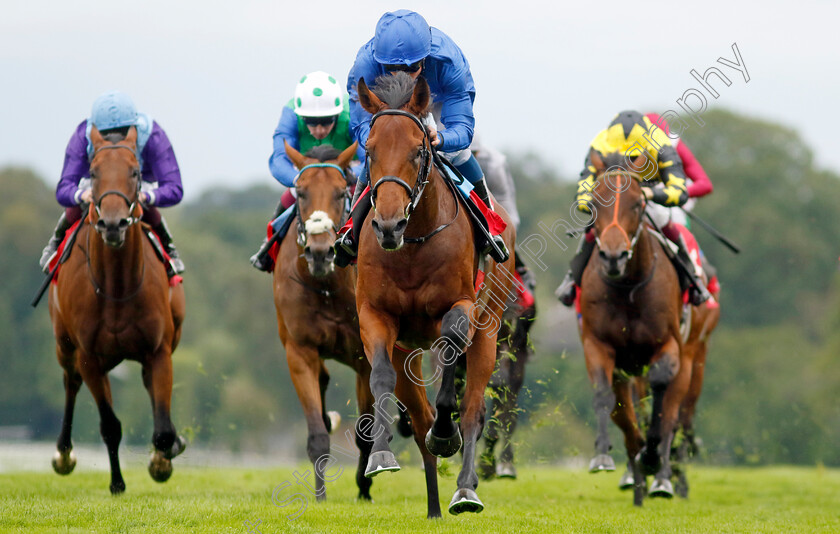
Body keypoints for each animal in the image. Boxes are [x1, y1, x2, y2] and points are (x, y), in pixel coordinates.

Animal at [48, 127, 185, 496]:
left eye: (135, 172)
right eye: (93, 173)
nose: (112, 223)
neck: (117, 288)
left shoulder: (159, 351)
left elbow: (162, 429)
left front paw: (162, 460)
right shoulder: (89, 357)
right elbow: (110, 425)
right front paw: (117, 483)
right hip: (65, 345)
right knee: (70, 382)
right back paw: (63, 454)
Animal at [270, 141, 376, 502]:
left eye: (341, 192)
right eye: (300, 192)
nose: (320, 252)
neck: (327, 286)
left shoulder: (364, 358)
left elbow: (365, 432)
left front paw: (364, 488)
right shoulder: (300, 352)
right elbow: (318, 434)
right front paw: (319, 496)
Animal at [352, 74, 516, 520]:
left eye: (418, 150)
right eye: (369, 151)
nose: (388, 225)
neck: (413, 243)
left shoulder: (459, 308)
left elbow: (451, 365)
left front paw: (446, 435)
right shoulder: (375, 316)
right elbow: (380, 378)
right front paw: (380, 455)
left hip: (489, 331)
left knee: (474, 409)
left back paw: (464, 491)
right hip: (406, 348)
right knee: (419, 414)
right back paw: (433, 508)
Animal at [580, 151, 692, 506]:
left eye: (638, 204)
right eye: (594, 202)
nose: (613, 256)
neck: (629, 287)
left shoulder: (668, 346)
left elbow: (660, 393)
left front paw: (653, 458)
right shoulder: (597, 345)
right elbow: (605, 395)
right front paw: (603, 455)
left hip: (689, 361)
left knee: (671, 415)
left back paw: (661, 477)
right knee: (627, 418)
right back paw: (638, 481)